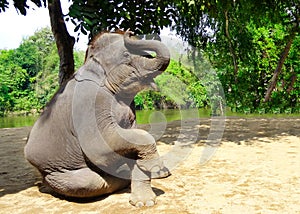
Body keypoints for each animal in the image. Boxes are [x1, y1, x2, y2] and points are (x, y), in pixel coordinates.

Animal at [24, 30, 170, 207]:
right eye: (126, 55)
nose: (129, 32)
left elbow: (130, 142)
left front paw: (145, 203)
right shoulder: (88, 101)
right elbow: (98, 146)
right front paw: (158, 169)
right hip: (53, 170)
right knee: (87, 181)